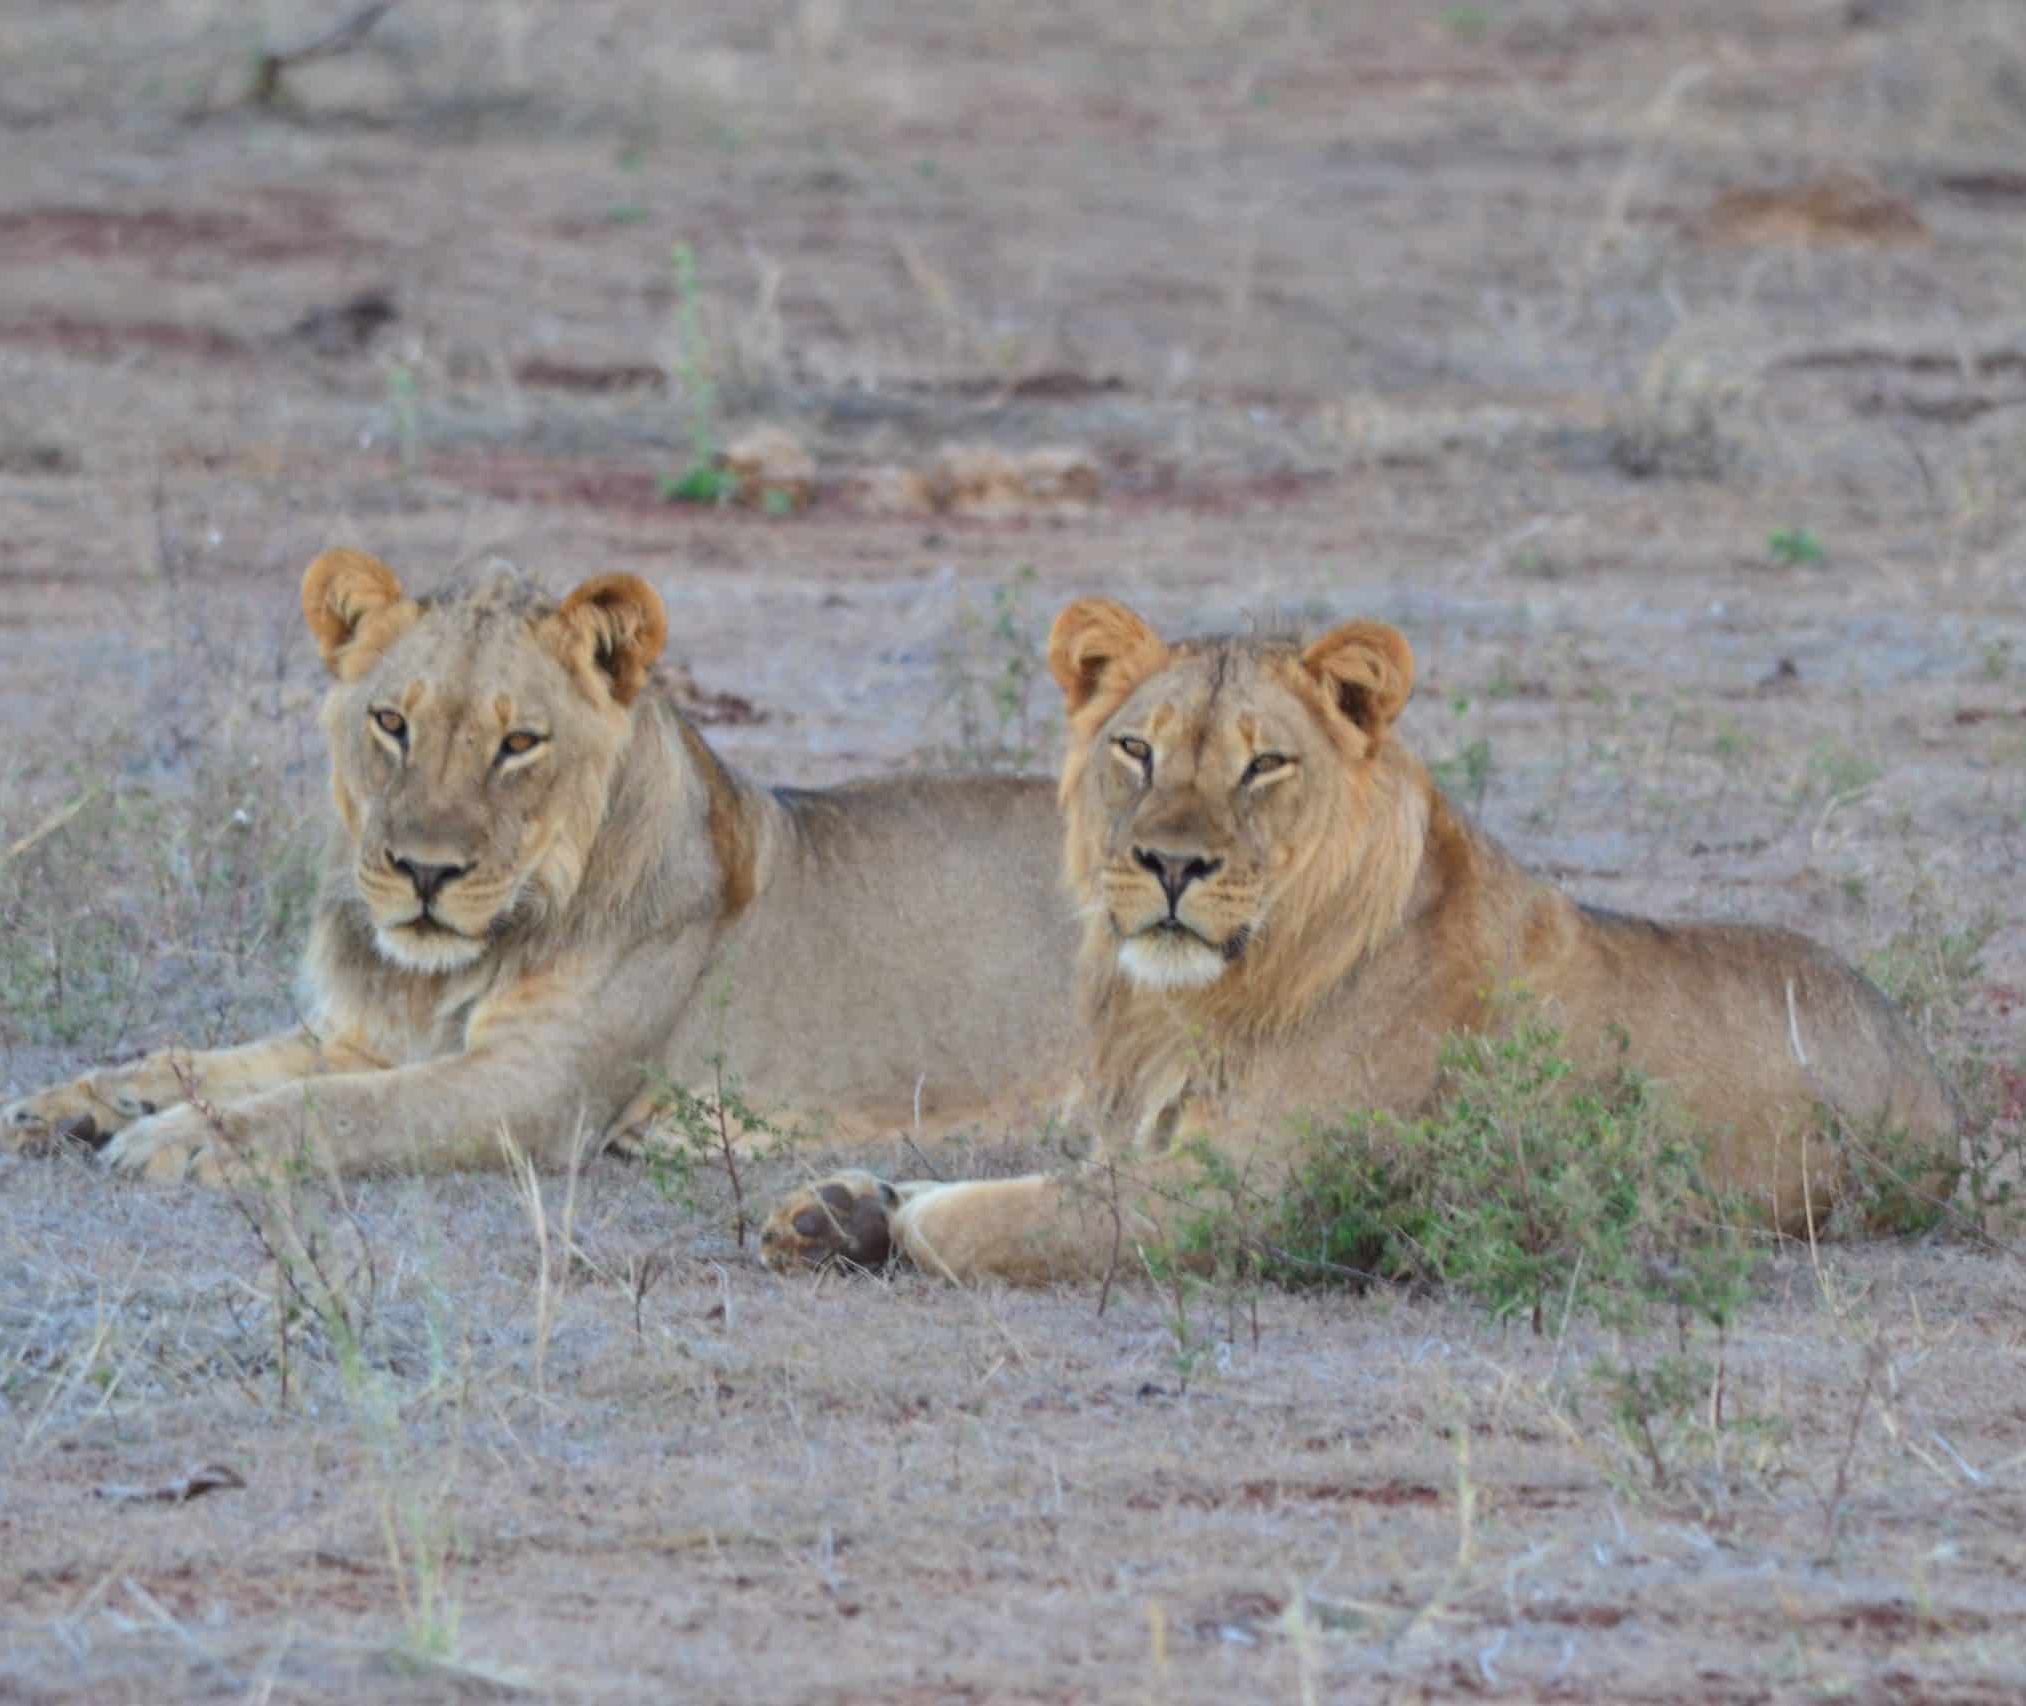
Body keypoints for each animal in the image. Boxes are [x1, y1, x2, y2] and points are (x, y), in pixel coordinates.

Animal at [0, 551, 1085, 1175]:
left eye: (518, 742)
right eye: (391, 722)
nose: (423, 872)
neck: (445, 969)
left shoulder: (540, 1089)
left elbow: (337, 1110)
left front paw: (177, 1140)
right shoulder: (369, 1033)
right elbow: (197, 1059)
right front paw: (68, 1106)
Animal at [761, 599, 1961, 1280]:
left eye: (1264, 763)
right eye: (1136, 749)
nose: (1171, 864)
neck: (1189, 1002)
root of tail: (1925, 1063)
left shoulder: (1244, 1198)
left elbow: (1000, 1217)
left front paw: (902, 1217)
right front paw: (841, 1210)